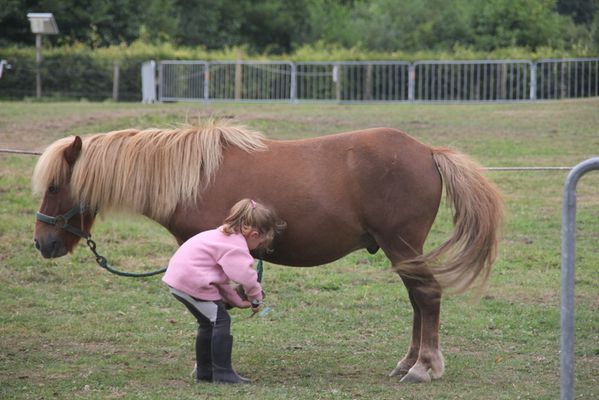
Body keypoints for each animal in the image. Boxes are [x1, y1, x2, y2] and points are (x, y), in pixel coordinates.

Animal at [31, 118, 502, 382]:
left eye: (54, 187)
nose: (43, 242)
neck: (192, 176)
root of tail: (428, 151)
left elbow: (211, 310)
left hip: (402, 245)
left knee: (427, 297)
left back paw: (424, 367)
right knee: (418, 301)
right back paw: (408, 363)